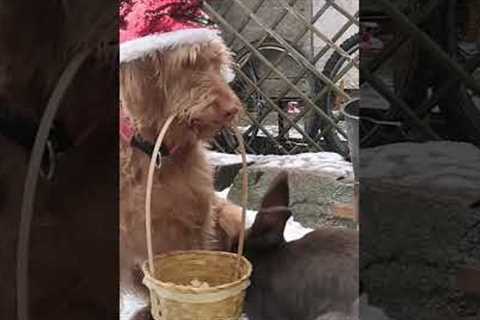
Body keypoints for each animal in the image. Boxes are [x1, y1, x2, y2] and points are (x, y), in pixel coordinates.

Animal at [118, 38, 246, 316]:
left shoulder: (193, 224)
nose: (233, 109)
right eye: (189, 63)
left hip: (231, 216)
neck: (154, 154)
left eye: (216, 63)